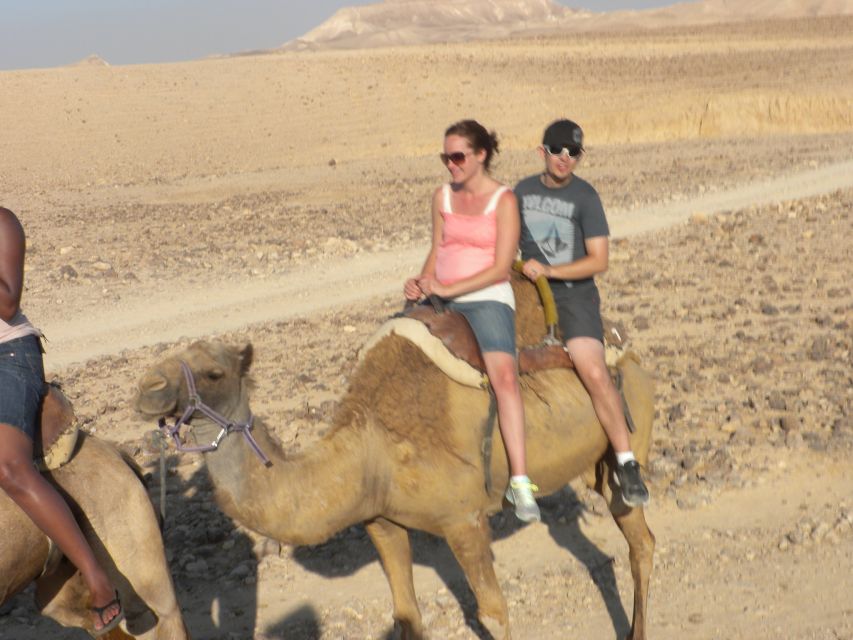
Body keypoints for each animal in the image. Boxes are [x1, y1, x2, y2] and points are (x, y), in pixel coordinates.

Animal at [134, 277, 655, 640]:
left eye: (213, 372)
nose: (146, 387)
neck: (371, 449)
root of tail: (621, 341)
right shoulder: (381, 521)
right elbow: (406, 615)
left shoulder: (464, 520)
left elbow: (493, 611)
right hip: (591, 464)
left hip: (628, 434)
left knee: (640, 541)